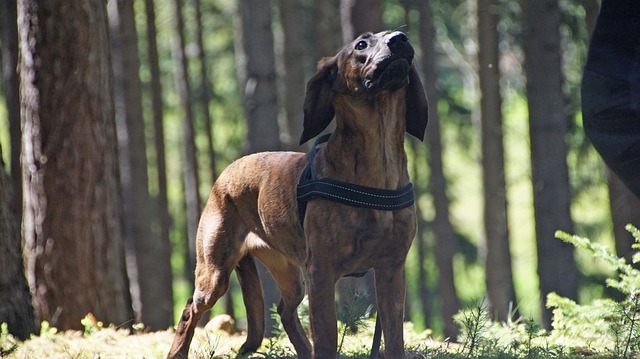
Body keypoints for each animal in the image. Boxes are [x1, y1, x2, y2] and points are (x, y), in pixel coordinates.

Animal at [169, 31, 430, 359]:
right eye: (361, 44)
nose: (400, 39)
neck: (378, 162)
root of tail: (224, 175)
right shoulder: (322, 274)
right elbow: (328, 339)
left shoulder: (392, 271)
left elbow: (394, 339)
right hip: (215, 273)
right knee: (190, 310)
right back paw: (176, 352)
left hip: (290, 274)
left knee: (285, 310)